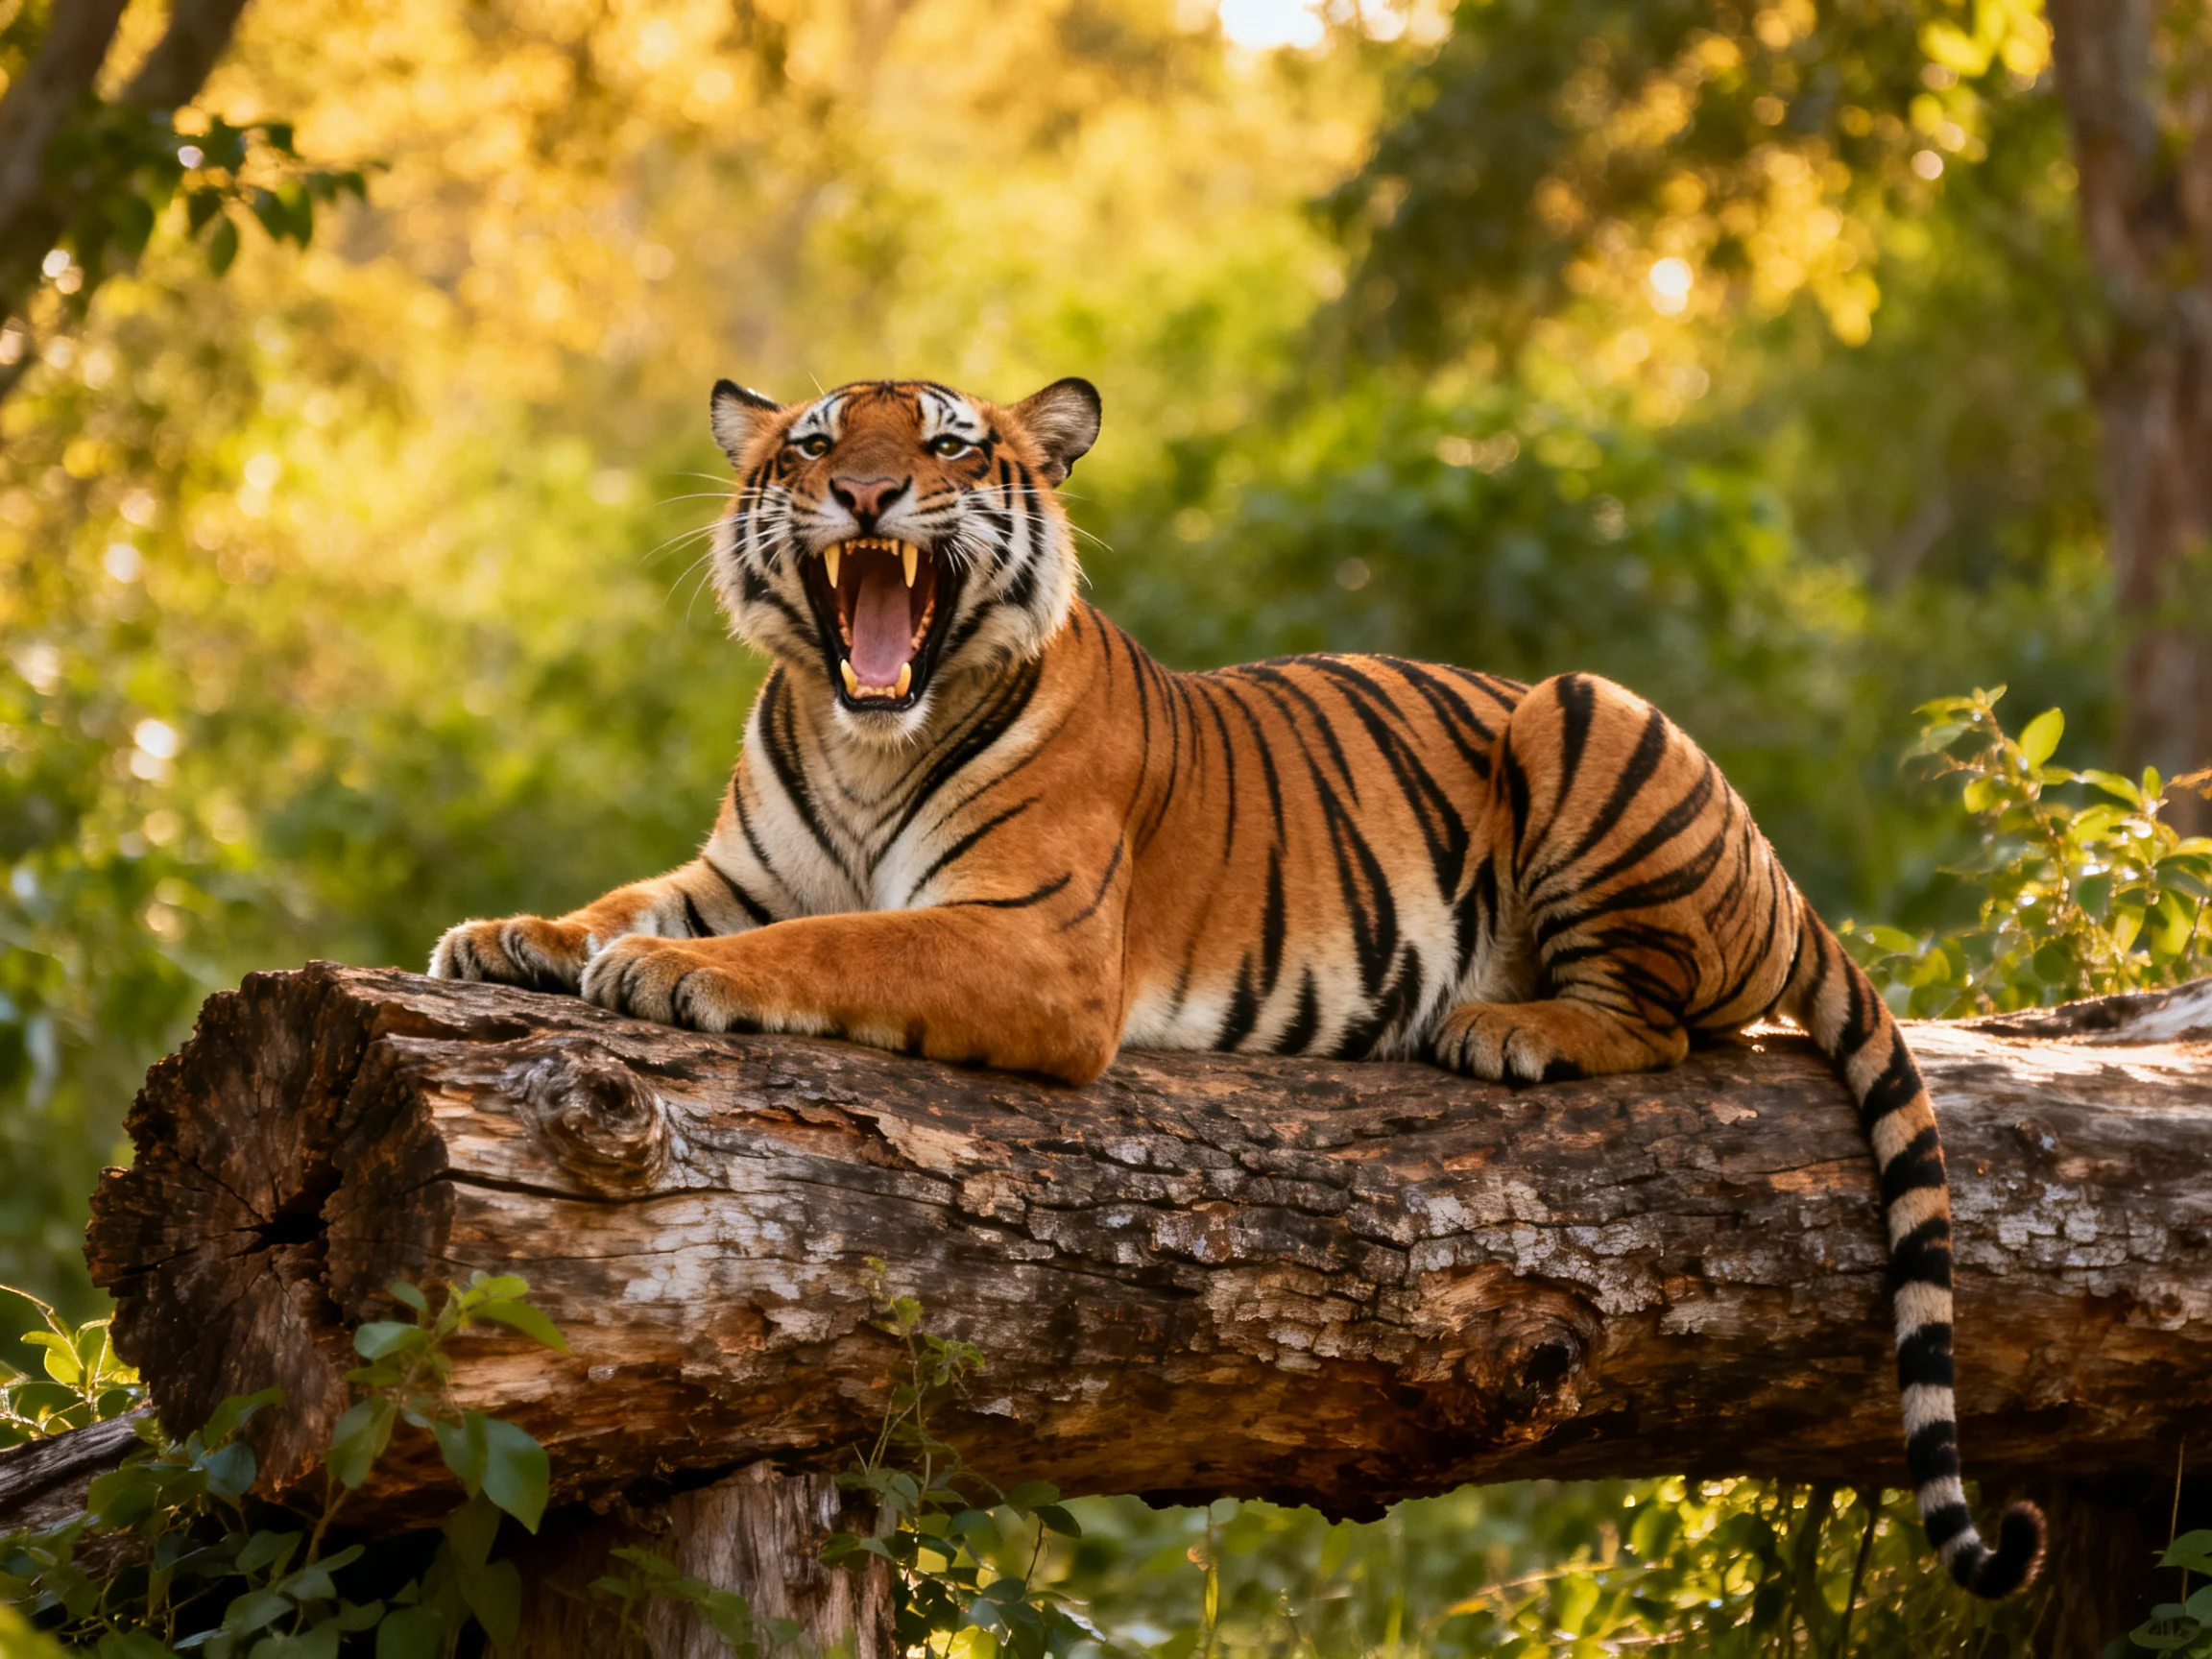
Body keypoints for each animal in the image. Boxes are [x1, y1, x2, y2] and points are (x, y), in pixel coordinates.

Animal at [430, 374, 2046, 1598]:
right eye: (818, 443)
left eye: (944, 445)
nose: (871, 499)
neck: (860, 734)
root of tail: (1780, 876)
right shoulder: (748, 868)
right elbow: (632, 899)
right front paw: (512, 936)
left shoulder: (1031, 939)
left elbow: (828, 944)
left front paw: (659, 972)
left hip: (1585, 709)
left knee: (1666, 1022)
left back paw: (1507, 1027)